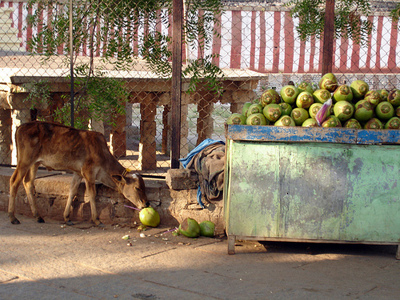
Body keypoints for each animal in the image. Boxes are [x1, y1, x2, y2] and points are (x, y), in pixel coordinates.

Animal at [8, 120, 149, 226]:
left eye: (144, 187)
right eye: (137, 188)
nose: (146, 203)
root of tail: (20, 127)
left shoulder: (78, 173)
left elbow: (72, 191)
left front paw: (67, 217)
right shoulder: (88, 172)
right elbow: (92, 194)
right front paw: (96, 220)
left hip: (35, 163)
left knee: (28, 183)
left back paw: (38, 216)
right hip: (25, 160)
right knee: (14, 181)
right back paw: (13, 217)